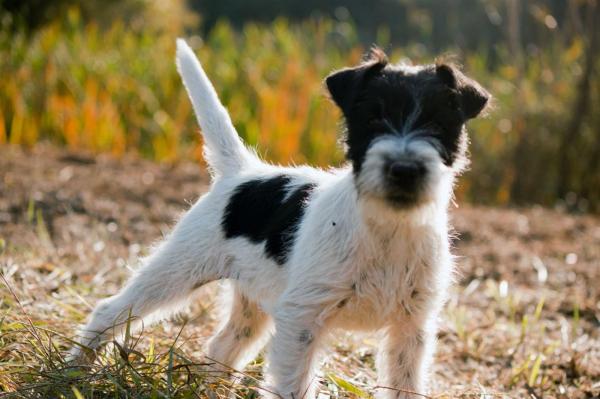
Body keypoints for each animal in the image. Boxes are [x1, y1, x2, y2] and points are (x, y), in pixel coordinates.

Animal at [70, 39, 490, 398]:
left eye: (439, 125)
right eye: (372, 121)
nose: (404, 169)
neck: (387, 228)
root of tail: (242, 171)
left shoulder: (411, 328)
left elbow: (404, 383)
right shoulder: (301, 321)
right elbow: (291, 385)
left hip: (251, 303)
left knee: (223, 345)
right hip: (176, 270)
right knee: (110, 310)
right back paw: (73, 371)